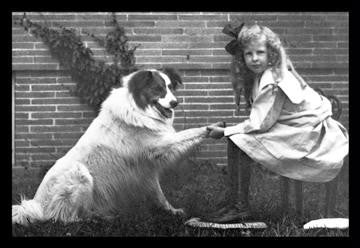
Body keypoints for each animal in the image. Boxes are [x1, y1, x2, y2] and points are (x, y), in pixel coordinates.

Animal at [13, 67, 217, 225]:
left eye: (170, 88)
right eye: (158, 89)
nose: (176, 102)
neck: (138, 110)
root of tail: (37, 206)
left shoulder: (147, 170)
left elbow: (159, 195)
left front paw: (172, 211)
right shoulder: (159, 146)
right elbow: (188, 134)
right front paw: (210, 128)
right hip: (79, 173)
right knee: (65, 218)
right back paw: (95, 218)